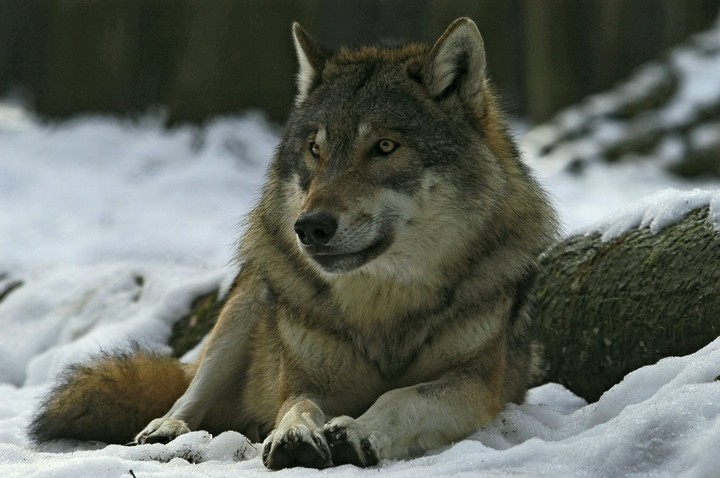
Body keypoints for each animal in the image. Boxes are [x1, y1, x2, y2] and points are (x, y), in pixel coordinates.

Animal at [29, 18, 558, 469]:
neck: (382, 309)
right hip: (249, 303)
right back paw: (165, 429)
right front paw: (296, 435)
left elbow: (401, 396)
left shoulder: (478, 385)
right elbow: (296, 405)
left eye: (385, 147)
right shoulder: (303, 378)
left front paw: (357, 431)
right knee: (189, 390)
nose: (311, 227)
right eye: (315, 150)